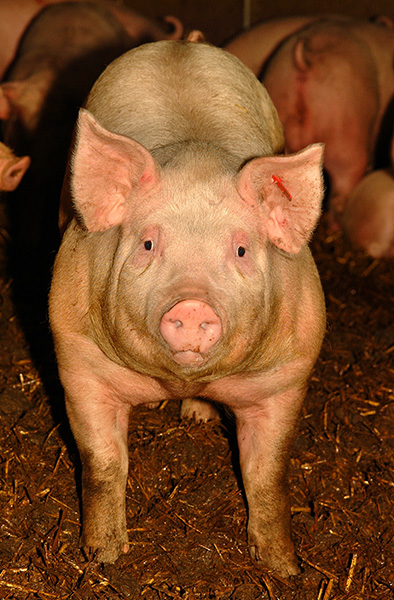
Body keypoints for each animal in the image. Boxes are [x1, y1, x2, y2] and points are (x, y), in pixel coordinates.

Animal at [49, 38, 326, 576]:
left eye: (240, 250)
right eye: (148, 244)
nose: (194, 305)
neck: (179, 380)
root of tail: (182, 44)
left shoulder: (288, 372)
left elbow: (267, 473)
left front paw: (283, 569)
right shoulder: (77, 354)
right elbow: (102, 462)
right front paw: (104, 558)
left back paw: (197, 418)